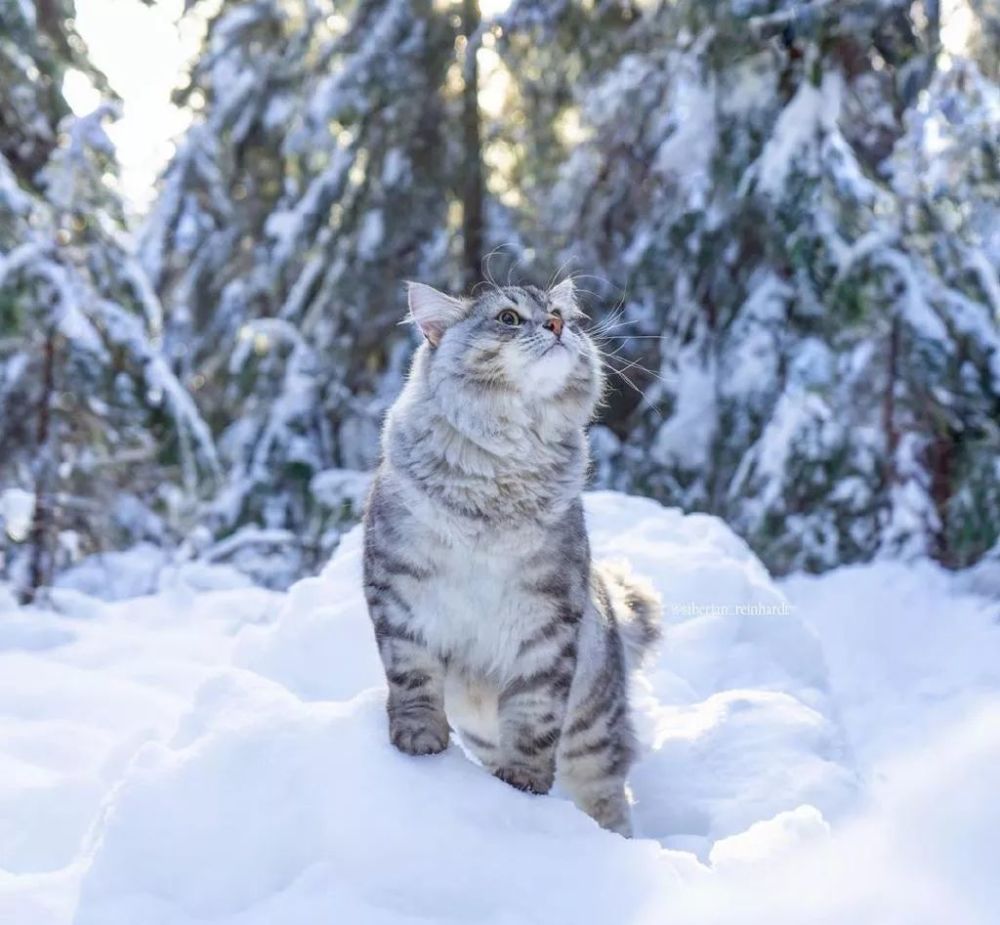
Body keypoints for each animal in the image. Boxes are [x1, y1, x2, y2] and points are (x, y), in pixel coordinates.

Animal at [364, 278, 660, 832]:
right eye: (508, 318)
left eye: (561, 311)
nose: (557, 325)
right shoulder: (400, 594)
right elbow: (412, 682)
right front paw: (420, 741)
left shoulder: (548, 618)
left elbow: (533, 717)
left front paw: (523, 783)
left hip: (593, 732)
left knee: (608, 799)